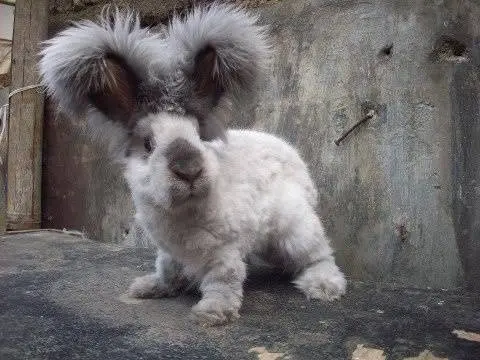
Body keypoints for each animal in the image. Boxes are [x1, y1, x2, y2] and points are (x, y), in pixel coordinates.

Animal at [38, 2, 344, 324]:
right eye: (148, 144)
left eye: (198, 135)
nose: (189, 171)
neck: (180, 211)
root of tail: (299, 165)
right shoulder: (169, 252)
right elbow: (167, 272)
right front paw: (147, 287)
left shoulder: (223, 253)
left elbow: (224, 281)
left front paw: (212, 313)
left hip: (296, 230)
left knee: (319, 256)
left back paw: (324, 286)